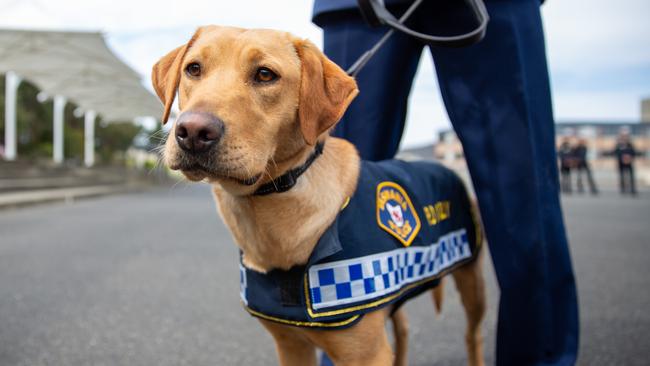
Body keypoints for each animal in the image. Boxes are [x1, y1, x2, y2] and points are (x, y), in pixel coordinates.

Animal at [153, 25, 480, 366]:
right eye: (193, 69)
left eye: (265, 74)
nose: (192, 132)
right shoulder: (290, 345)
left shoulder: (367, 354)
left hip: (472, 281)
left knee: (472, 335)